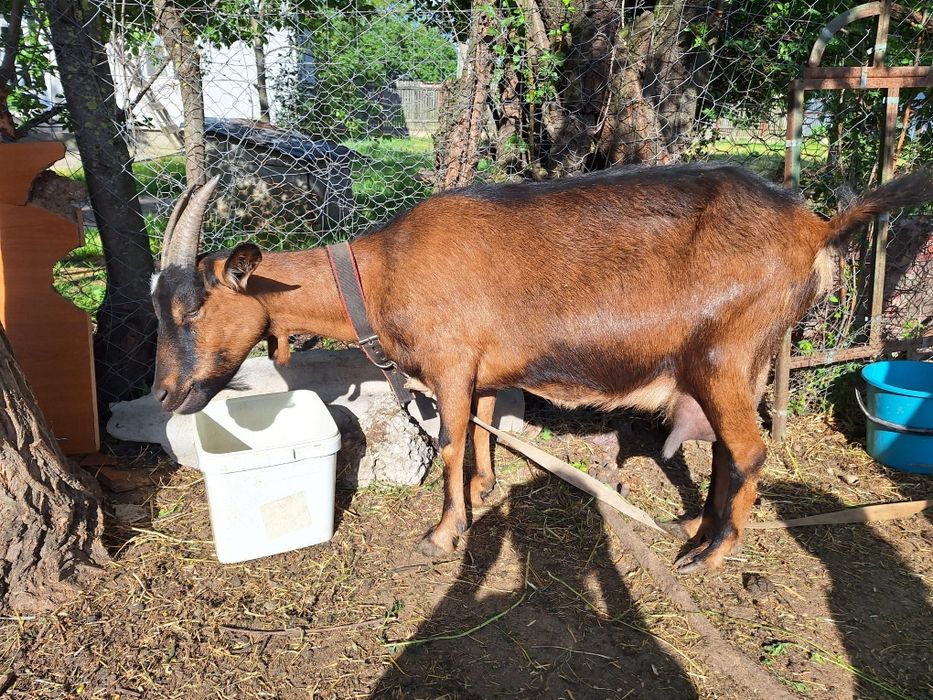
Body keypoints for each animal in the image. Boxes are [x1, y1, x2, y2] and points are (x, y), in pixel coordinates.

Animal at [151, 163, 933, 573]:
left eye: (189, 307)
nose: (166, 394)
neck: (377, 273)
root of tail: (815, 228)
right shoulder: (483, 370)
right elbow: (484, 429)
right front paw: (488, 489)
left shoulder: (449, 362)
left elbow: (449, 442)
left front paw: (444, 532)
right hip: (735, 364)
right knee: (726, 451)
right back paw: (693, 525)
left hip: (721, 354)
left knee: (748, 448)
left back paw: (711, 554)